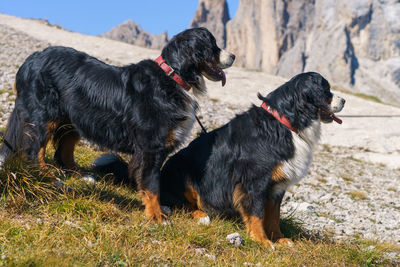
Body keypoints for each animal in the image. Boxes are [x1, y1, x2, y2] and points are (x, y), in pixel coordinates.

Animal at [0, 28, 234, 223]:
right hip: (43, 114)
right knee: (34, 149)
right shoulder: (151, 147)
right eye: (213, 45)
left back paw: (79, 174)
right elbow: (152, 184)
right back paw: (46, 175)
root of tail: (33, 58)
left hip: (74, 116)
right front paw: (156, 215)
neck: (173, 77)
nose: (233, 56)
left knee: (62, 150)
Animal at [158, 73, 346, 249]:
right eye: (326, 89)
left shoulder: (277, 186)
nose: (344, 100)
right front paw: (262, 240)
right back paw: (201, 215)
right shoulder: (255, 182)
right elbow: (257, 214)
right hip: (183, 173)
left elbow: (274, 216)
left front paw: (279, 239)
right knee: (181, 204)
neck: (284, 123)